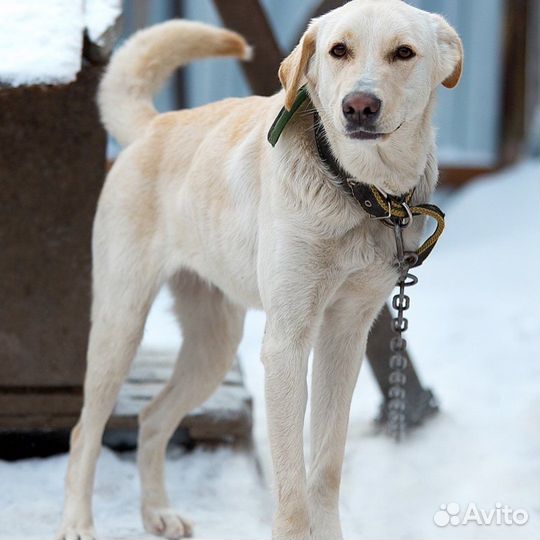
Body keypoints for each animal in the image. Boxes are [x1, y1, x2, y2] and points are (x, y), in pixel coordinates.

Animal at [59, 0, 462, 536]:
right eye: (339, 50)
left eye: (404, 53)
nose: (359, 106)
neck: (355, 188)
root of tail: (152, 126)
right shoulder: (287, 343)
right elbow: (291, 489)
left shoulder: (344, 338)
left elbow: (325, 469)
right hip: (120, 328)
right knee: (85, 431)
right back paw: (77, 522)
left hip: (213, 347)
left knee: (151, 418)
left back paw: (157, 512)